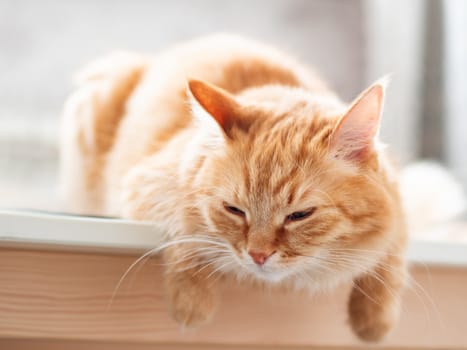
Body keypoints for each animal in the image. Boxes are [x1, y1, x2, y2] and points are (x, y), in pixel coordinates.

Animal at [60, 34, 408, 340]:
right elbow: (185, 230)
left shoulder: (397, 201)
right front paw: (191, 301)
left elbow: (393, 253)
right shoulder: (146, 184)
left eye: (299, 215)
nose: (258, 255)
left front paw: (375, 321)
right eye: (235, 210)